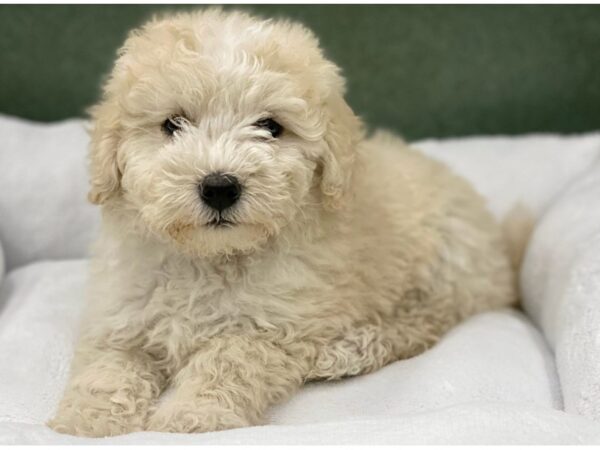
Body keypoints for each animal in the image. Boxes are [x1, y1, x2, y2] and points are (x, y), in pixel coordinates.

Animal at [48, 8, 516, 438]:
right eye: (172, 124)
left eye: (270, 126)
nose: (220, 186)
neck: (209, 258)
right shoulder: (121, 314)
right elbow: (106, 365)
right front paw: (84, 420)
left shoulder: (274, 327)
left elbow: (228, 361)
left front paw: (193, 416)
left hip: (449, 260)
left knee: (424, 322)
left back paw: (347, 351)